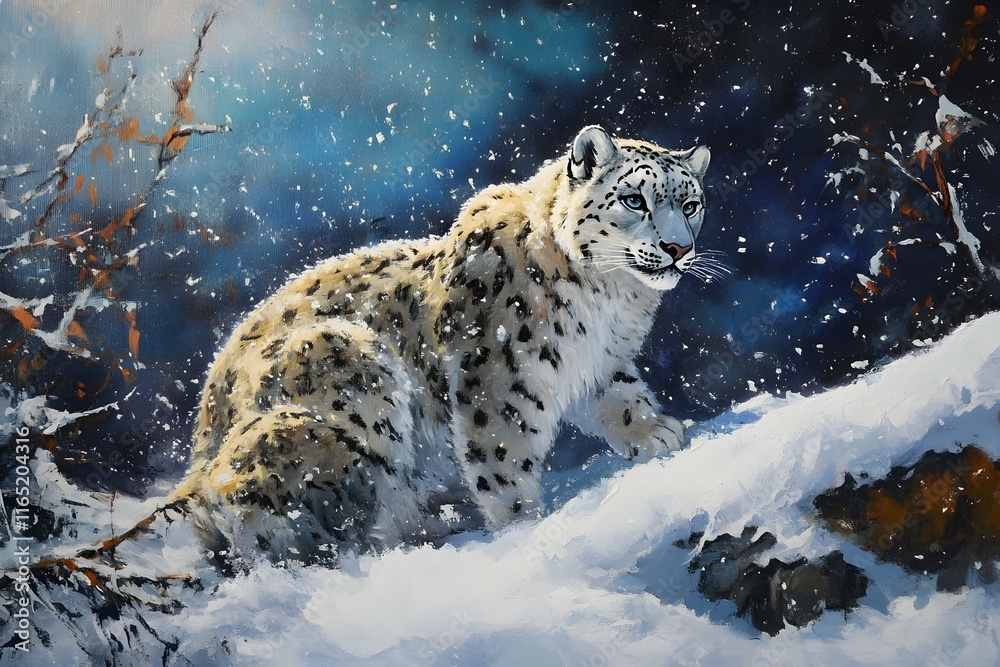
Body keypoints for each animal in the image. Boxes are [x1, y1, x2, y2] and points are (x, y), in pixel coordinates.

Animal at [175, 125, 712, 564]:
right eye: (635, 200)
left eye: (691, 205)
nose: (678, 248)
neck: (610, 298)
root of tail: (199, 456)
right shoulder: (499, 378)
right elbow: (503, 460)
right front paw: (525, 525)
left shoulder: (598, 361)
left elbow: (620, 395)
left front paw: (656, 432)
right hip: (343, 365)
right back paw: (428, 528)